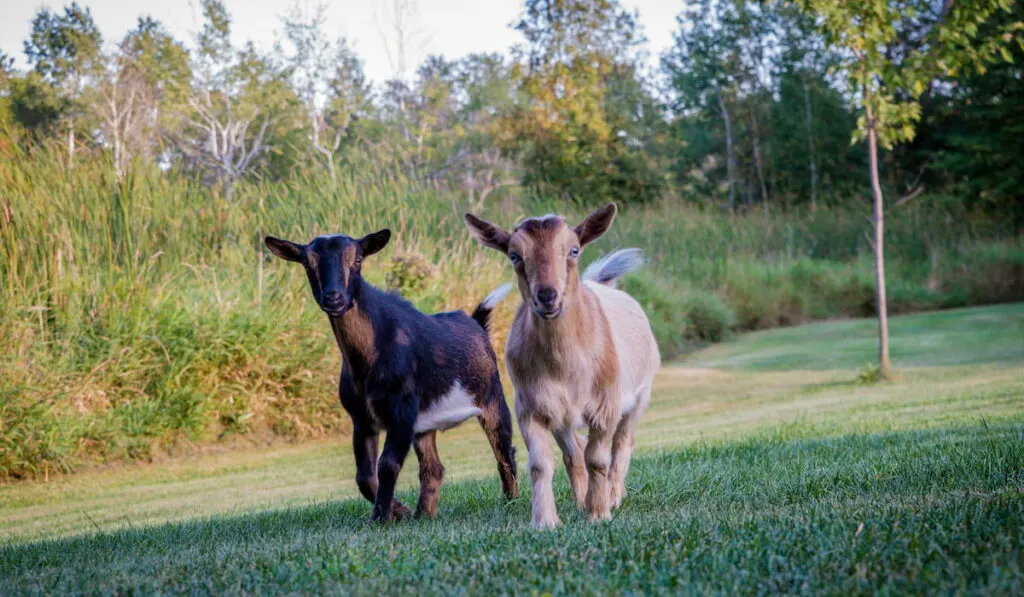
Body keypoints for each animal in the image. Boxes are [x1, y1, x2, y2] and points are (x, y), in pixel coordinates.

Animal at [266, 231, 520, 520]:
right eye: (308, 264)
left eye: (358, 259)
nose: (334, 298)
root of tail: (477, 323)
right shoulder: (362, 418)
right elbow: (364, 475)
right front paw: (400, 511)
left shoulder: (402, 409)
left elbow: (387, 464)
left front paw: (380, 518)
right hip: (425, 424)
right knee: (433, 468)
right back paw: (424, 515)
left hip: (491, 396)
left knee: (504, 452)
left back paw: (510, 502)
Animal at [466, 204, 659, 528]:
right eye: (514, 255)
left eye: (574, 250)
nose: (547, 296)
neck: (566, 367)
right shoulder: (532, 406)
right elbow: (541, 464)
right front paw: (545, 521)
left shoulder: (605, 405)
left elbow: (599, 459)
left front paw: (599, 513)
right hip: (563, 416)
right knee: (574, 450)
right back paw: (582, 500)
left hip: (639, 396)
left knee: (623, 443)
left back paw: (614, 495)